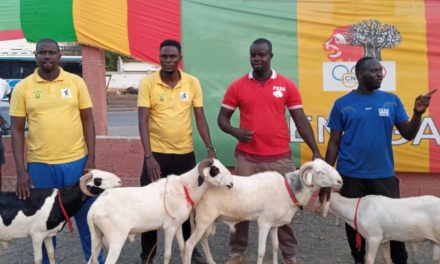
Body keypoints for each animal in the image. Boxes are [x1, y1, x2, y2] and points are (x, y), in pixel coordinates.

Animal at [85, 158, 234, 264]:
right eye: (215, 170)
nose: (231, 183)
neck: (185, 187)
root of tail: (94, 208)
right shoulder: (169, 228)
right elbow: (167, 254)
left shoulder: (177, 225)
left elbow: (183, 248)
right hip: (116, 240)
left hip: (97, 237)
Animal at [182, 159, 344, 264]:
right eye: (320, 172)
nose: (340, 181)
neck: (287, 189)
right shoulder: (264, 223)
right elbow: (261, 252)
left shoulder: (274, 225)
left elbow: (275, 247)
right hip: (204, 220)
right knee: (189, 245)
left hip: (209, 221)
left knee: (203, 240)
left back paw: (211, 261)